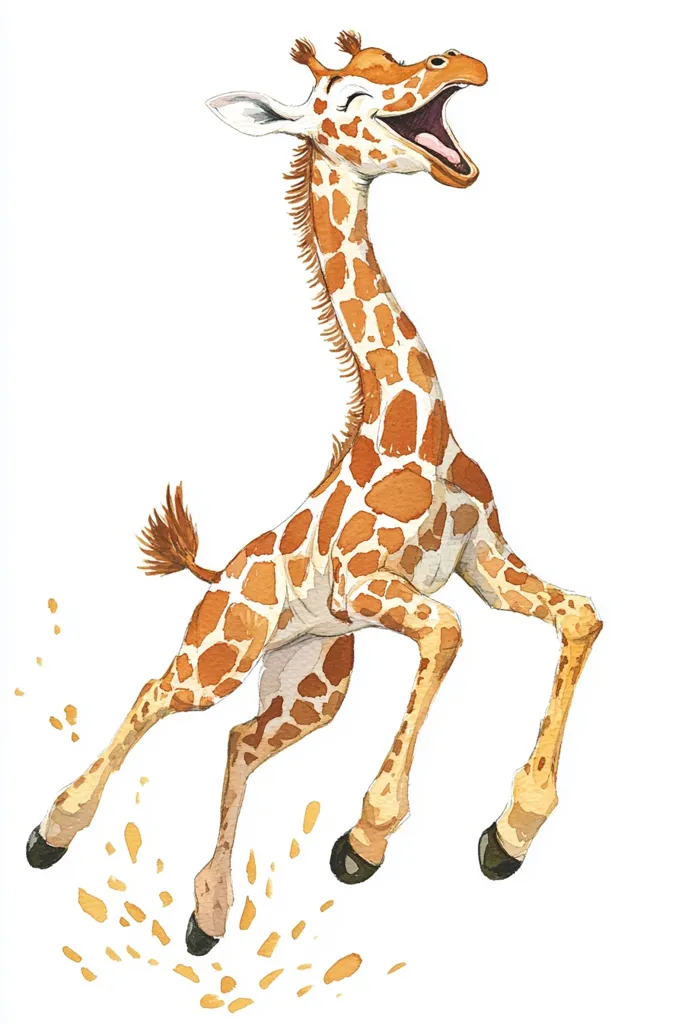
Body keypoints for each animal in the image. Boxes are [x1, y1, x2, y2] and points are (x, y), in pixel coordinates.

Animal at [26, 31, 602, 956]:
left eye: (397, 56)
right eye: (349, 93)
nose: (459, 61)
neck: (414, 430)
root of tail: (218, 572)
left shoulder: (484, 562)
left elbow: (577, 616)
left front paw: (510, 832)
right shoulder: (377, 584)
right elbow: (448, 635)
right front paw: (365, 837)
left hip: (313, 682)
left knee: (240, 739)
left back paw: (207, 915)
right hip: (220, 653)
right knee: (156, 693)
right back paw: (52, 831)